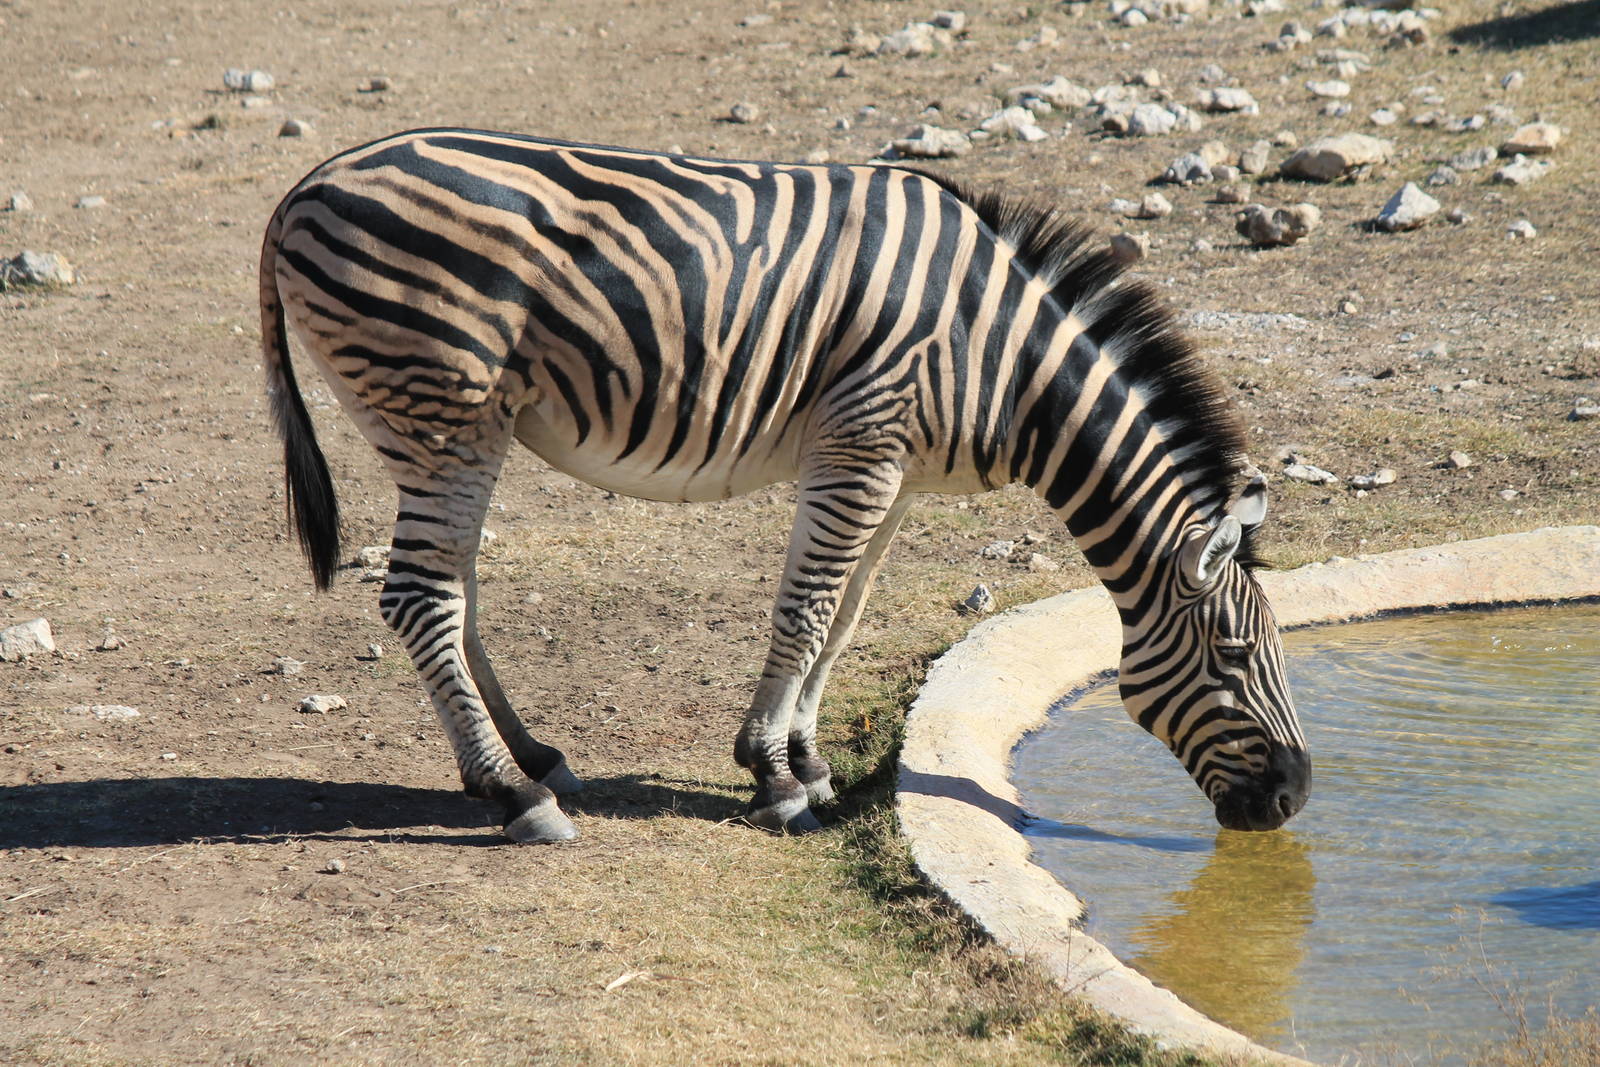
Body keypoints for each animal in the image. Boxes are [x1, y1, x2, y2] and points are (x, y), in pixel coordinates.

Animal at [259, 128, 1311, 844]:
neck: (1007, 364)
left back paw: (535, 760)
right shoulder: (859, 447)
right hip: (445, 410)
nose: (1297, 796)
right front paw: (773, 775)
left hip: (451, 427)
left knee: (454, 590)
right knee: (419, 598)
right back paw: (514, 797)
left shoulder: (893, 470)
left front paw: (806, 758)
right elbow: (804, 614)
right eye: (1231, 656)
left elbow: (842, 617)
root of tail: (306, 185)